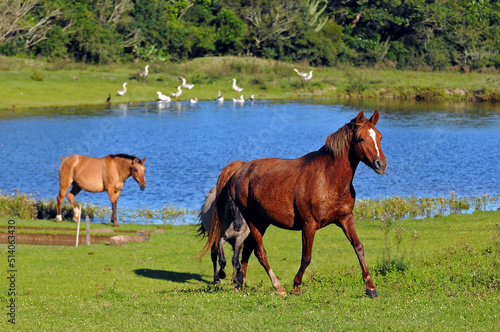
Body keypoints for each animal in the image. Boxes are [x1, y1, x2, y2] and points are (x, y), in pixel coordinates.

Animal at [202, 111, 386, 296]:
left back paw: (239, 283)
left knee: (247, 248)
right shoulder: (309, 225)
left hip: (262, 222)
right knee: (260, 252)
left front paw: (371, 287)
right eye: (361, 139)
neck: (328, 178)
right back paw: (278, 287)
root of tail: (241, 169)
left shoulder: (345, 219)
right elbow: (306, 257)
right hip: (252, 220)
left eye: (380, 137)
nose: (381, 164)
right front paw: (296, 285)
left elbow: (358, 247)